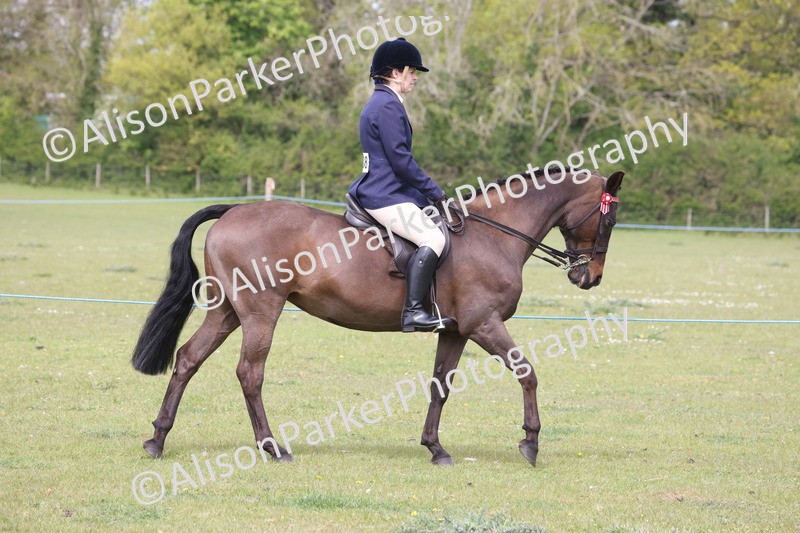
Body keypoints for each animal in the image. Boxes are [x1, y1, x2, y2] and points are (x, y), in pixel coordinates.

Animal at [131, 169, 624, 466]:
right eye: (609, 220)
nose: (590, 277)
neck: (493, 235)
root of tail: (232, 210)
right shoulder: (485, 324)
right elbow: (527, 373)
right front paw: (530, 442)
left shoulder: (456, 331)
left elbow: (440, 386)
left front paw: (435, 448)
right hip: (259, 312)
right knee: (250, 373)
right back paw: (273, 447)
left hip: (227, 311)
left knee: (188, 359)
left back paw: (158, 439)